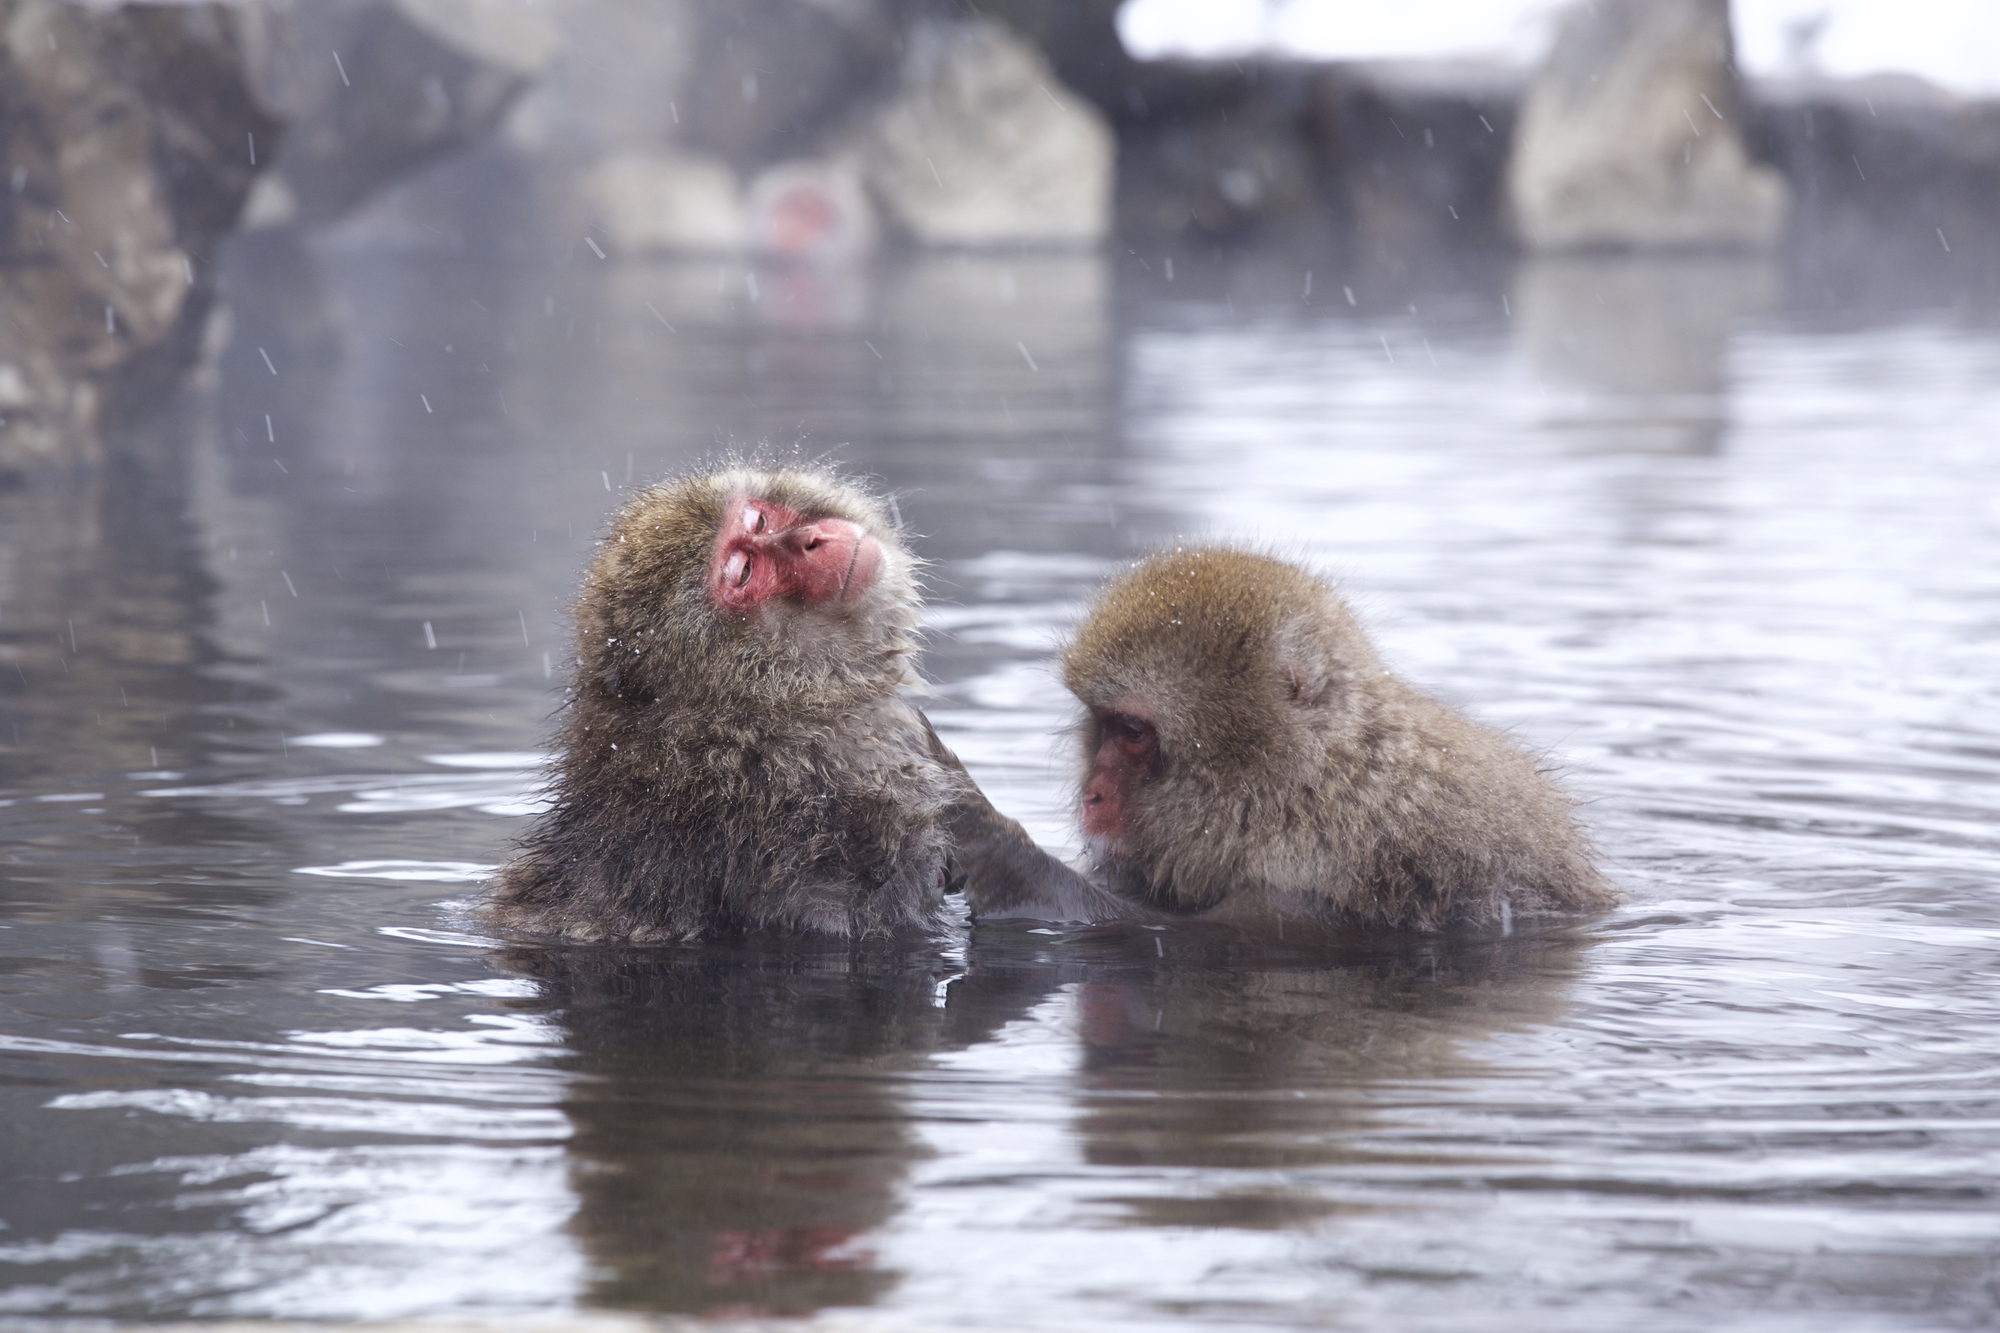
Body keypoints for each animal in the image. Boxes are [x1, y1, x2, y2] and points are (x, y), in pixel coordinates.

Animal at [968, 546, 1616, 932]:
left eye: (1131, 732)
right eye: (1102, 724)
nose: (1093, 794)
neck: (1298, 789)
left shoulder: (1319, 866)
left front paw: (1007, 858)